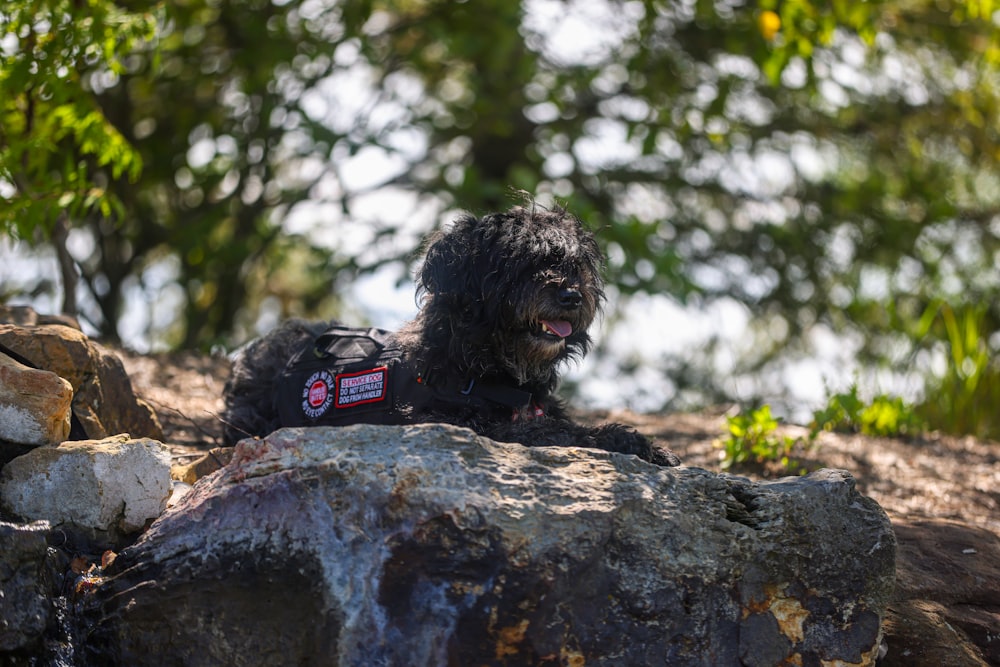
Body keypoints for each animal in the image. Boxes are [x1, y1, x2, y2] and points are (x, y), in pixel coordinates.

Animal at [223, 206, 680, 468]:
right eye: (524, 263)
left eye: (574, 264)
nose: (571, 295)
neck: (483, 364)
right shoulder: (454, 423)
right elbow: (553, 433)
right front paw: (618, 441)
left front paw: (646, 444)